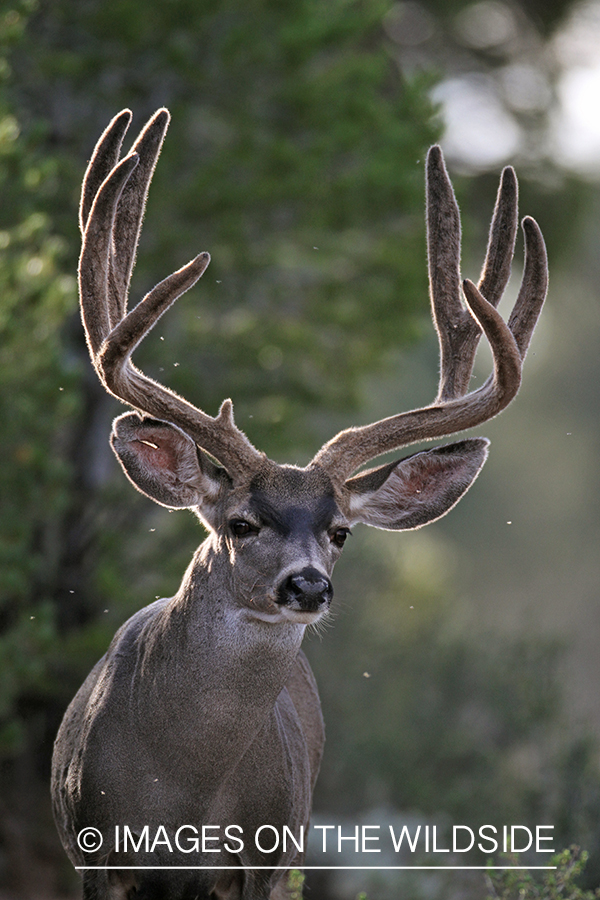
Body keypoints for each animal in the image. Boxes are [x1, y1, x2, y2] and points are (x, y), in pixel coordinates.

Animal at [51, 108, 548, 900]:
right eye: (241, 523)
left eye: (341, 531)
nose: (308, 585)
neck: (181, 796)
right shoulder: (97, 855)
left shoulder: (262, 853)